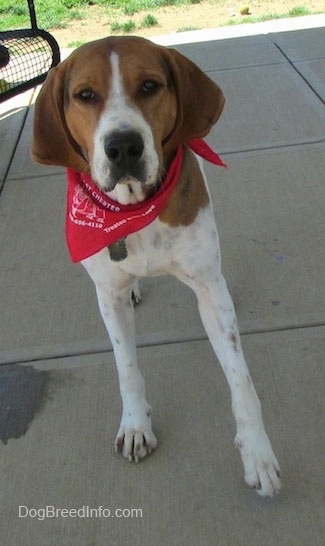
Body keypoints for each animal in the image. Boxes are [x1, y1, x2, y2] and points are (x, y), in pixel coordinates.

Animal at [31, 34, 280, 492]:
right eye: (85, 95)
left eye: (149, 86)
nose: (123, 146)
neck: (133, 209)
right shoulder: (107, 295)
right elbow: (127, 367)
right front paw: (135, 425)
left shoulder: (209, 290)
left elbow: (241, 380)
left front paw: (257, 451)